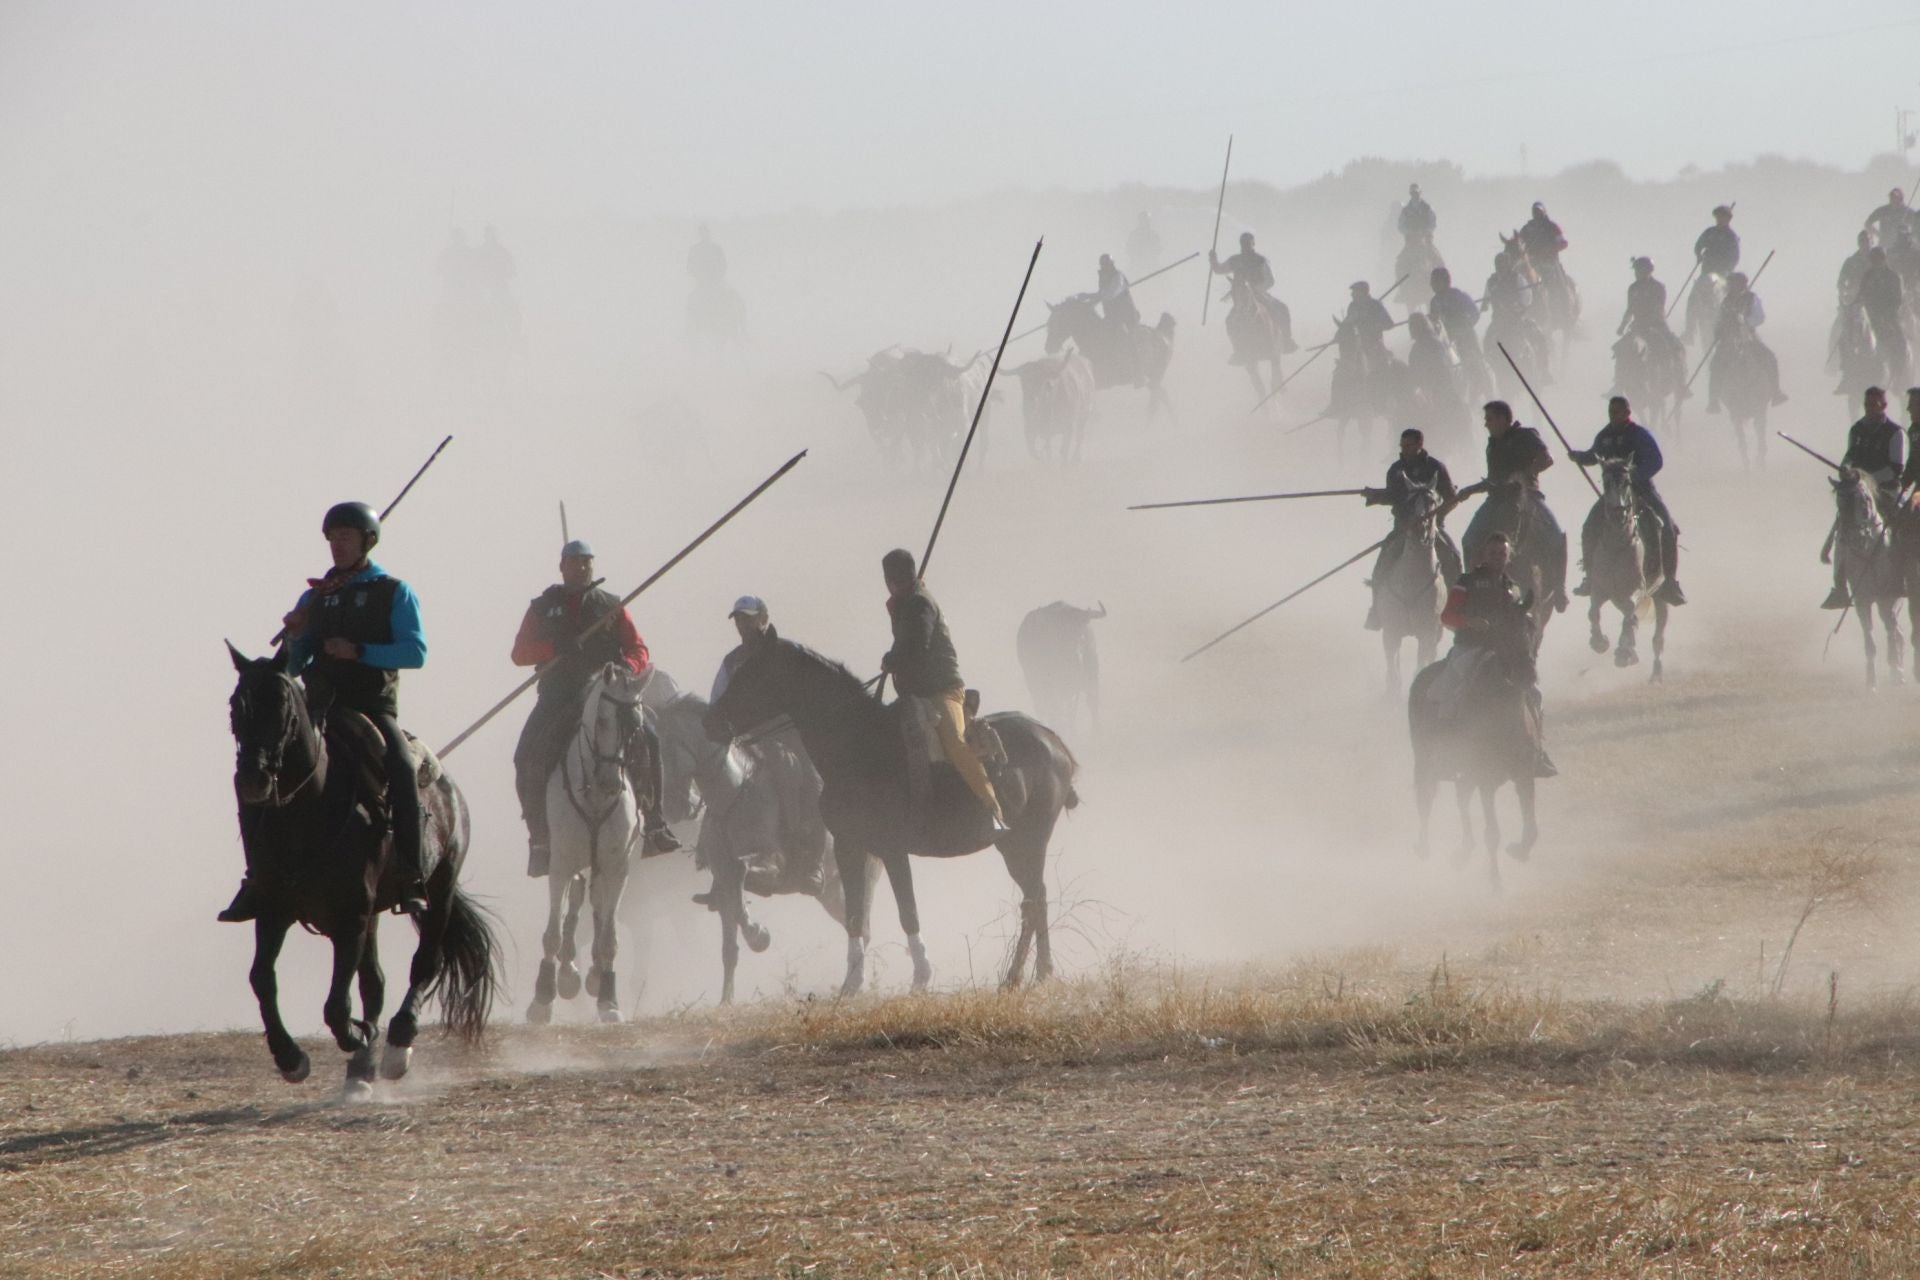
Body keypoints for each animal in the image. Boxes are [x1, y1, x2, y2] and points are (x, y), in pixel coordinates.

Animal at [222, 644, 503, 1097]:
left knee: (425, 963)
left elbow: (337, 1005)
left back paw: (396, 1047)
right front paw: (290, 1058)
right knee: (375, 980)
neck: (308, 812)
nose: (253, 778)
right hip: (372, 915)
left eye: (281, 704)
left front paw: (355, 1035)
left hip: (438, 890)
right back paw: (362, 1070)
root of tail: (450, 790)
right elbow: (262, 978)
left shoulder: (350, 915)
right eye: (235, 705)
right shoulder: (274, 910)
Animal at [529, 667, 648, 1028]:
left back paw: (592, 975)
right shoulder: (560, 863)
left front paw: (609, 1001)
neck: (594, 794)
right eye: (602, 721)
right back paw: (567, 975)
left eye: (636, 726)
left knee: (594, 904)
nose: (611, 782)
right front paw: (542, 1000)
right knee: (575, 905)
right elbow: (552, 933)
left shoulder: (619, 867)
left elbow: (609, 938)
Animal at [714, 637, 1082, 990]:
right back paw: (1035, 973)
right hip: (1014, 845)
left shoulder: (892, 850)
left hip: (1028, 841)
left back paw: (1019, 976)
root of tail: (1054, 742)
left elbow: (908, 912)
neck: (859, 749)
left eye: (752, 674)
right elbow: (855, 916)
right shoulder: (849, 847)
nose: (711, 720)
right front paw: (851, 984)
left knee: (1033, 900)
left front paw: (921, 977)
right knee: (1036, 898)